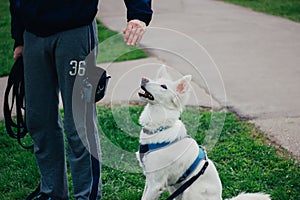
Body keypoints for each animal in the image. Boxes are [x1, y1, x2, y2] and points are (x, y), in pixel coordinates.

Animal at [137, 65, 270, 199]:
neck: (159, 127)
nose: (143, 79)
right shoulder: (150, 180)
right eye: (154, 80)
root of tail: (220, 198)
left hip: (189, 191)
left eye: (163, 86)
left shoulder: (156, 184)